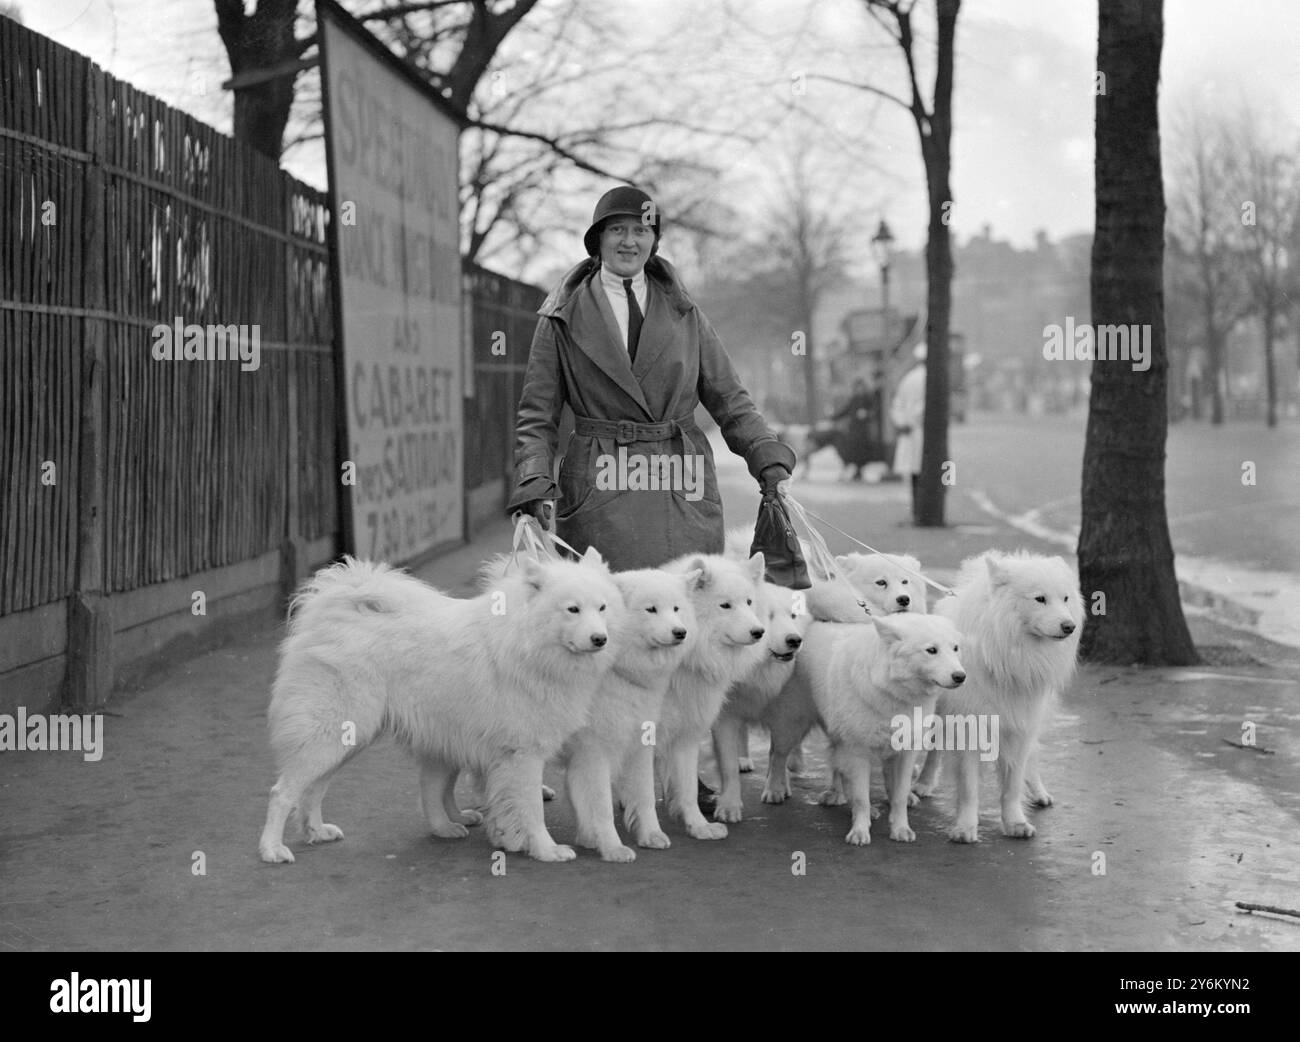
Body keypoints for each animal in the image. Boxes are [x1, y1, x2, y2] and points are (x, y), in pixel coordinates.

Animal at [260, 548, 624, 862]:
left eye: (602, 608)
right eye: (572, 609)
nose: (600, 640)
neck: (527, 644)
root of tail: (330, 614)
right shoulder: (523, 755)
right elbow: (532, 810)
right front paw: (547, 851)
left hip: (349, 740)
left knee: (314, 788)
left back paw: (317, 831)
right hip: (333, 735)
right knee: (282, 792)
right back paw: (272, 850)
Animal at [759, 613, 967, 841]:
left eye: (955, 648)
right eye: (931, 650)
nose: (961, 676)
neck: (891, 690)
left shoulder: (904, 753)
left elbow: (899, 796)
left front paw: (900, 829)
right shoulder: (858, 751)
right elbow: (861, 799)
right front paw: (859, 831)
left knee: (837, 764)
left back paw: (837, 794)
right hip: (792, 725)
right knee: (777, 756)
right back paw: (774, 790)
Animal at [915, 548, 1086, 841]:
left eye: (1065, 598)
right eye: (1040, 599)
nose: (1069, 626)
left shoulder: (1019, 725)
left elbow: (1012, 784)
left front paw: (1015, 823)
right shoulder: (968, 726)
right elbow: (969, 787)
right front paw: (965, 828)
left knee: (1033, 757)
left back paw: (1039, 792)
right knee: (934, 751)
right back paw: (923, 783)